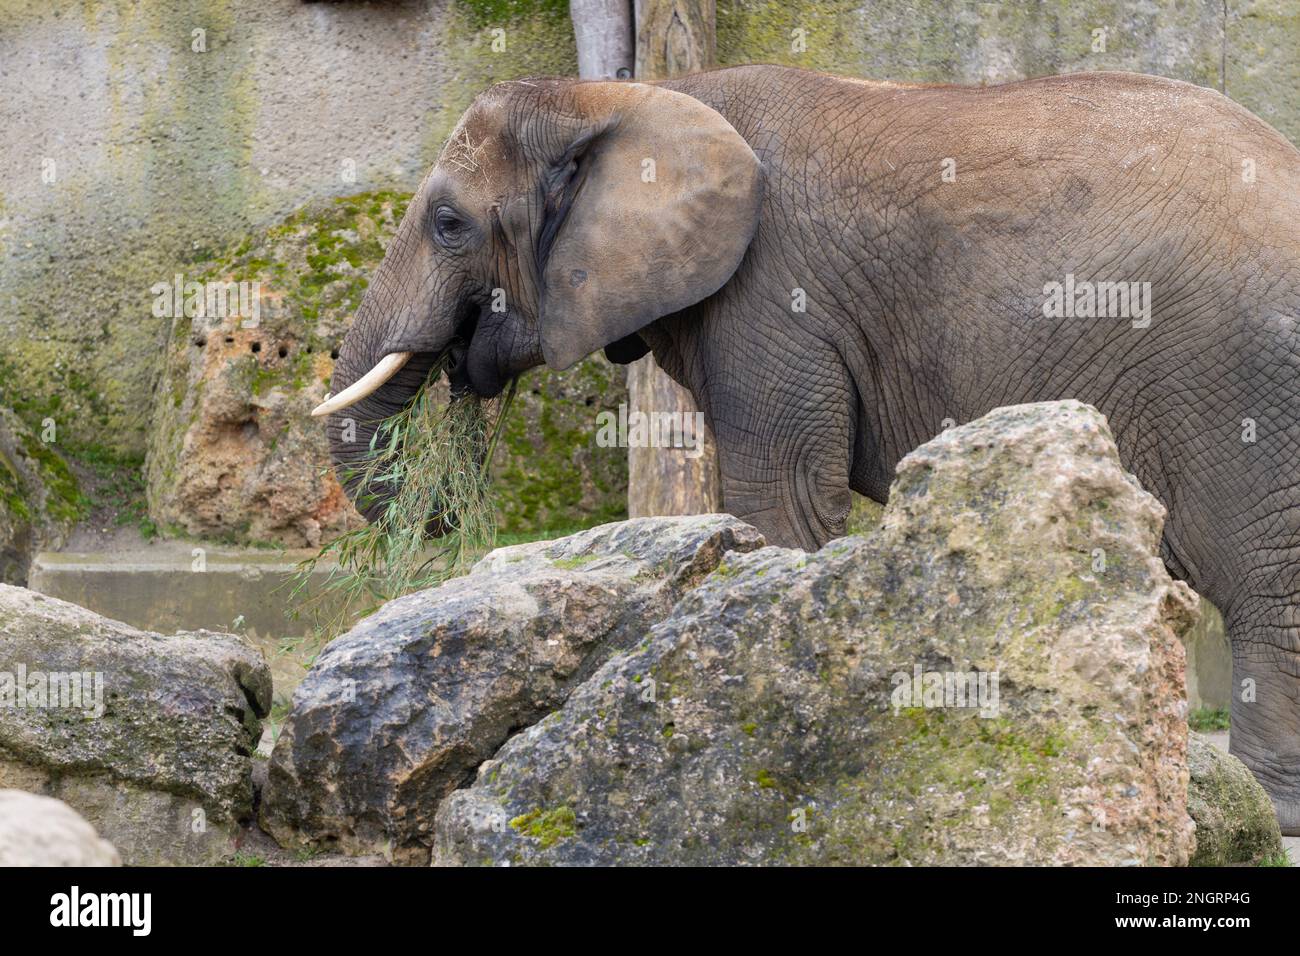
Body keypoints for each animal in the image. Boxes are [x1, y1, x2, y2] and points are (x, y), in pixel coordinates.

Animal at [318, 65, 1300, 834]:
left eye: (449, 223)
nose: (446, 514)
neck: (628, 96)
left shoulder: (771, 298)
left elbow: (781, 498)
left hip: (1242, 384)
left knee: (1264, 587)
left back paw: (1265, 805)